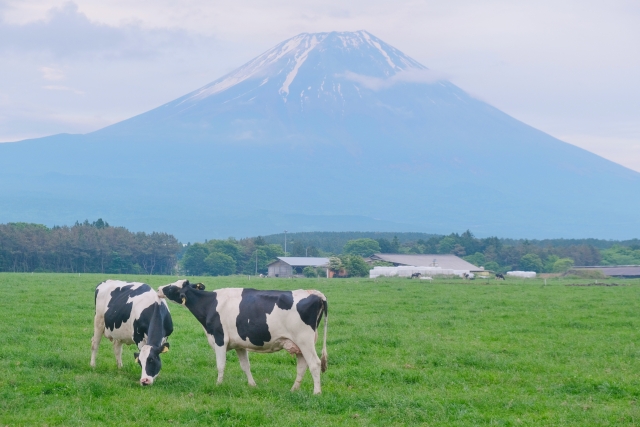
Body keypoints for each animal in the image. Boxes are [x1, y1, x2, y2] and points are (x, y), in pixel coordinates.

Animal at [158, 280, 328, 394]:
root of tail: (314, 293)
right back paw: (294, 389)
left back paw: (316, 392)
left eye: (172, 287)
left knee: (314, 363)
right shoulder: (239, 344)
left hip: (304, 340)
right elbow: (246, 366)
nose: (159, 288)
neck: (210, 304)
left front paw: (218, 385)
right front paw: (252, 385)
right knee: (302, 366)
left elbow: (221, 365)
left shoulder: (220, 339)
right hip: (298, 344)